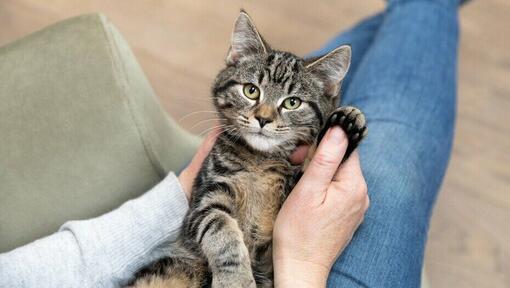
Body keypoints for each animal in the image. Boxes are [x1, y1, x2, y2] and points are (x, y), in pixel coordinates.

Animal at [129, 9, 364, 288]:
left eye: (292, 103)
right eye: (251, 91)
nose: (263, 118)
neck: (259, 161)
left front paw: (346, 124)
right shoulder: (205, 199)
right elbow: (221, 231)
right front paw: (235, 280)